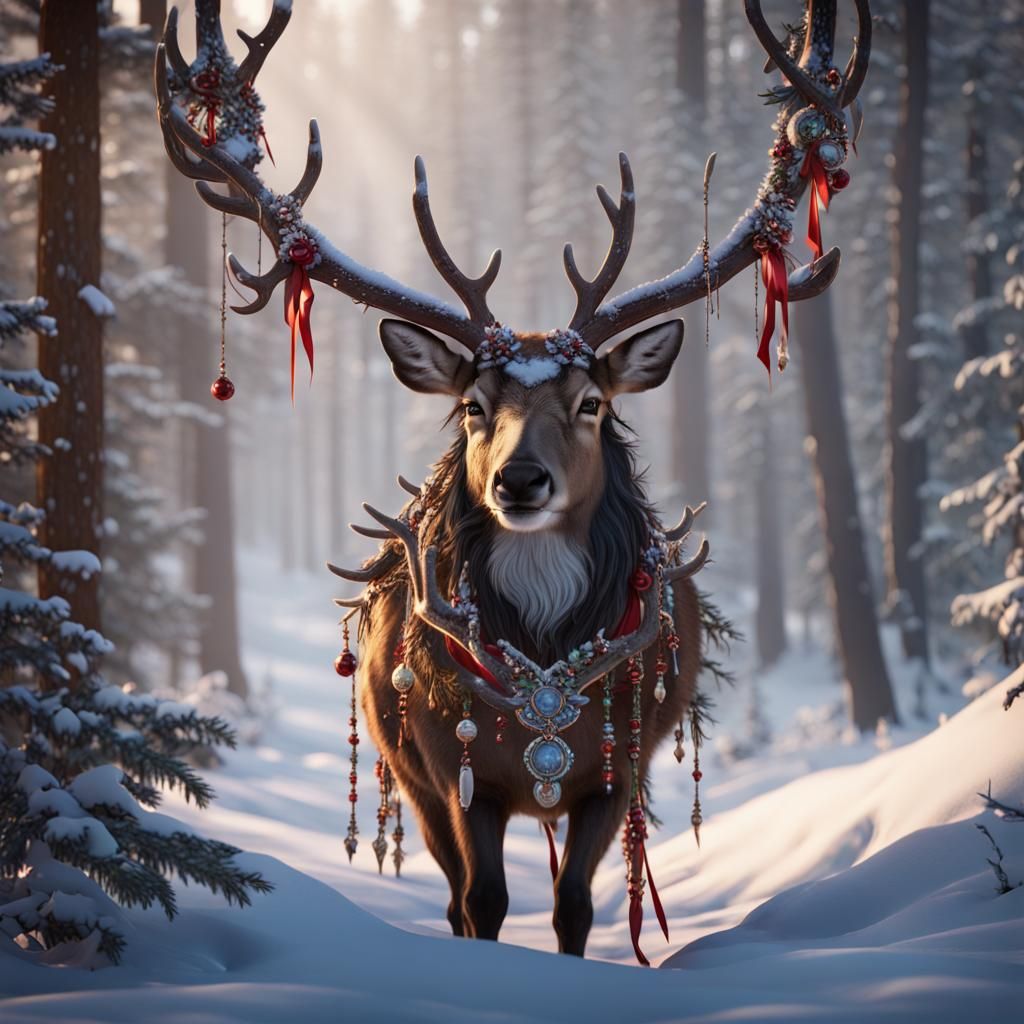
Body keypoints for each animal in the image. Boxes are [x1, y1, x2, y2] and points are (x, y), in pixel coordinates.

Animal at [155, 0, 870, 962]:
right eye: (473, 405)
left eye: (592, 403)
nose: (519, 482)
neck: (542, 675)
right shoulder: (455, 771)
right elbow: (482, 904)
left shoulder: (619, 767)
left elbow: (575, 909)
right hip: (406, 768)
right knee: (454, 898)